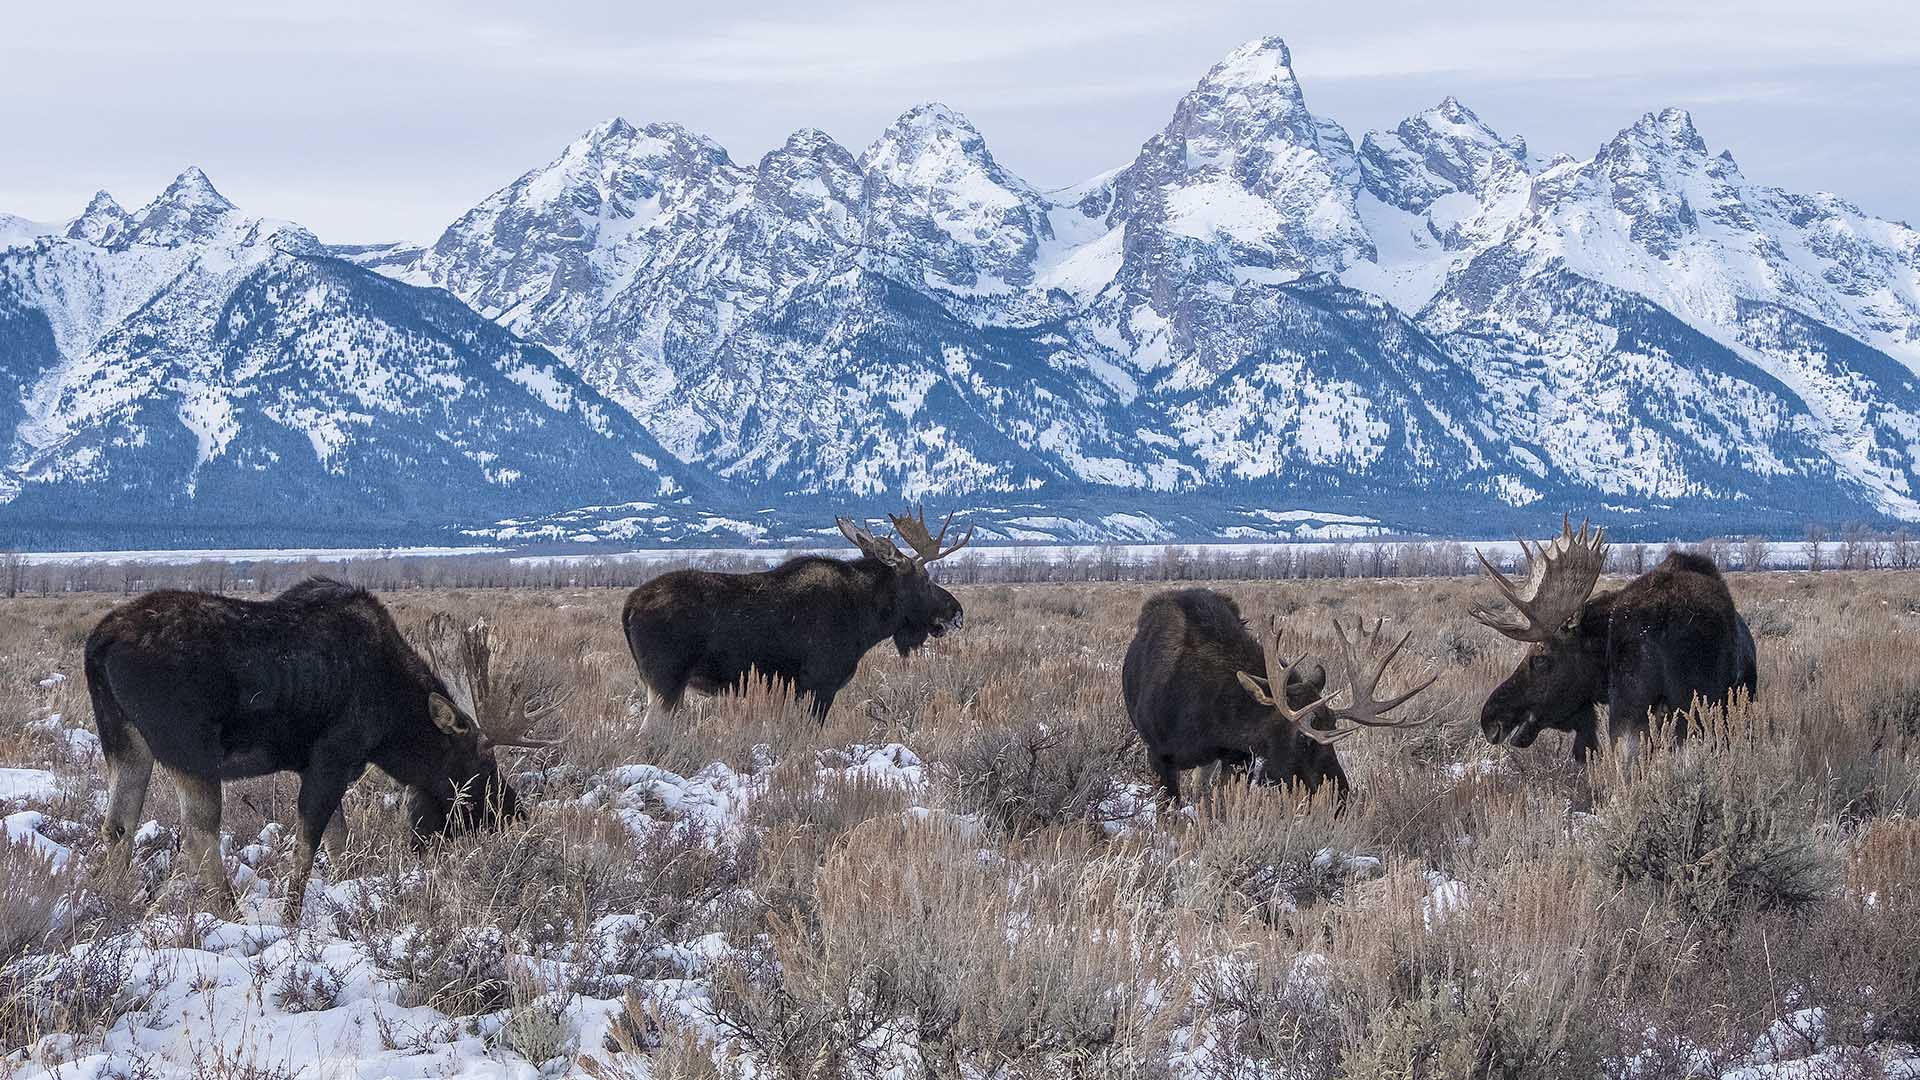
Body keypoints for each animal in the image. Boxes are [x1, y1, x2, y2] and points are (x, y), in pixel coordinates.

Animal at [90, 576, 556, 922]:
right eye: (482, 759)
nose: (516, 813)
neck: (393, 721)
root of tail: (100, 641)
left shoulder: (321, 765)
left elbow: (338, 844)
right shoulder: (333, 755)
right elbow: (308, 845)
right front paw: (291, 918)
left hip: (124, 742)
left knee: (118, 826)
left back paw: (112, 906)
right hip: (191, 749)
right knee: (197, 834)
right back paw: (230, 912)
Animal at [622, 507, 967, 722]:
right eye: (925, 579)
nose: (957, 612)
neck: (866, 623)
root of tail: (628, 608)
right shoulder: (818, 683)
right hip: (666, 682)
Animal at [1121, 588, 1436, 799]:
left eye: (1334, 728)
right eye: (1305, 739)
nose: (1341, 794)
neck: (1208, 722)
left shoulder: (1238, 757)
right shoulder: (1159, 754)